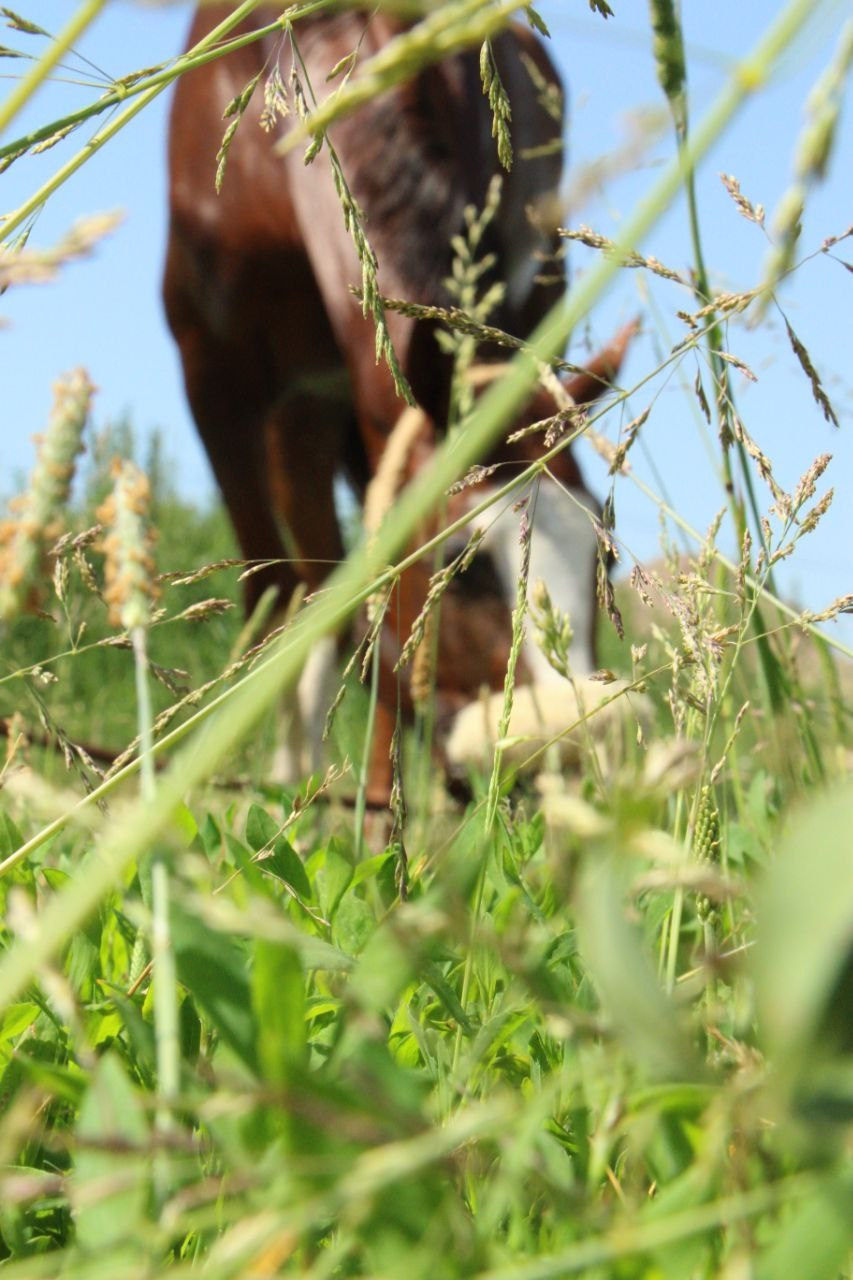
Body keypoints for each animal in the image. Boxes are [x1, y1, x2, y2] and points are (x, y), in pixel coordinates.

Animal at [164, 6, 630, 805]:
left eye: (606, 558)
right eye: (459, 565)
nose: (567, 759)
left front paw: (383, 807)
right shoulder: (219, 374)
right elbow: (280, 588)